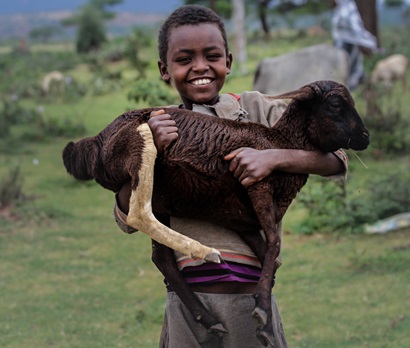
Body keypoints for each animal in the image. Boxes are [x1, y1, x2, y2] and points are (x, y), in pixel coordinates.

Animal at [62, 80, 370, 346]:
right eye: (335, 104)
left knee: (161, 257)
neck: (281, 142)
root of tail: (95, 142)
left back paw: (209, 319)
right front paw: (263, 315)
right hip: (141, 144)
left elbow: (270, 256)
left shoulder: (244, 221)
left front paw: (265, 315)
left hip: (161, 201)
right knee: (138, 214)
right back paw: (206, 253)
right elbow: (274, 243)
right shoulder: (257, 184)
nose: (366, 137)